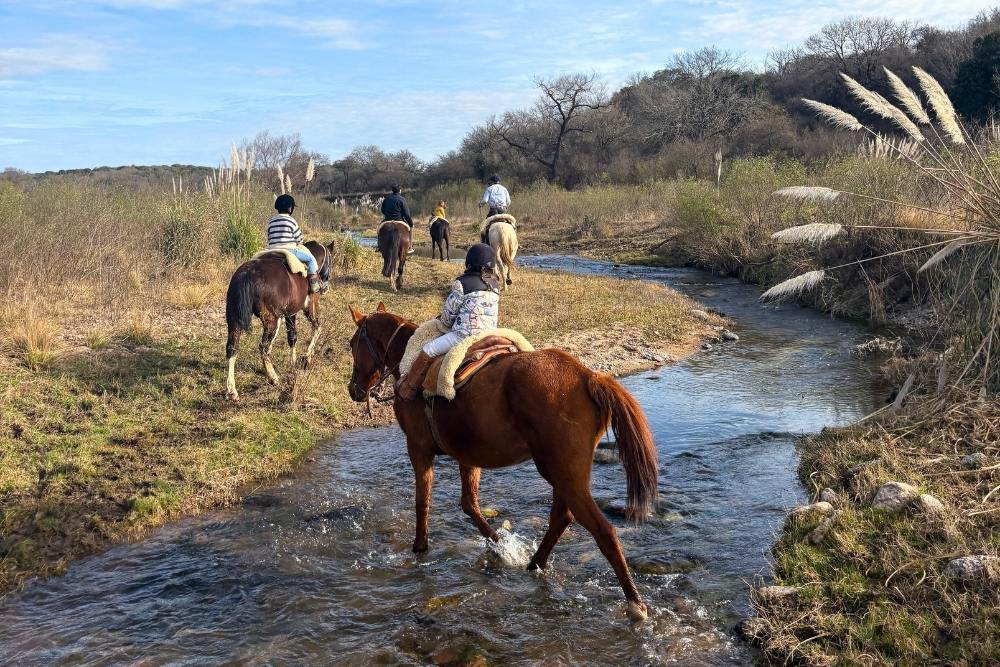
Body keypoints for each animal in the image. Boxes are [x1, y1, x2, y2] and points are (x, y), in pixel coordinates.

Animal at [224, 240, 333, 401]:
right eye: (331, 260)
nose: (324, 288)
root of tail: (247, 273)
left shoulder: (287, 314)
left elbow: (290, 338)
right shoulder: (305, 308)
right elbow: (310, 330)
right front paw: (304, 359)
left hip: (234, 319)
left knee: (232, 348)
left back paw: (232, 390)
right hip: (272, 320)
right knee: (263, 346)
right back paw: (273, 377)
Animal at [346, 304, 659, 620]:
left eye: (352, 344)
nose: (353, 390)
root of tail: (588, 377)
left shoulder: (418, 448)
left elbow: (423, 502)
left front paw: (420, 548)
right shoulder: (468, 455)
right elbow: (469, 505)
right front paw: (503, 547)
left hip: (564, 473)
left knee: (603, 530)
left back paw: (635, 604)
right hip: (561, 473)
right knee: (561, 517)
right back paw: (533, 564)